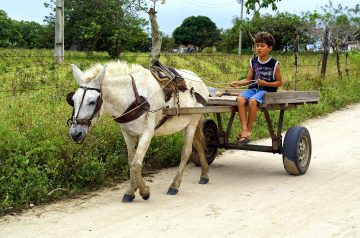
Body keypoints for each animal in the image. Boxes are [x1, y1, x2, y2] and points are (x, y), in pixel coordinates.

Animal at [66, 61, 210, 203]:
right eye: (73, 100)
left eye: (92, 102)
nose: (75, 133)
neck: (134, 97)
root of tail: (198, 79)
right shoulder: (127, 134)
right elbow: (132, 161)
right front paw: (132, 190)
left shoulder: (147, 133)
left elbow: (136, 164)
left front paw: (144, 191)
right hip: (185, 124)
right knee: (198, 145)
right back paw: (204, 174)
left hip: (193, 121)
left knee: (186, 151)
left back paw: (174, 185)